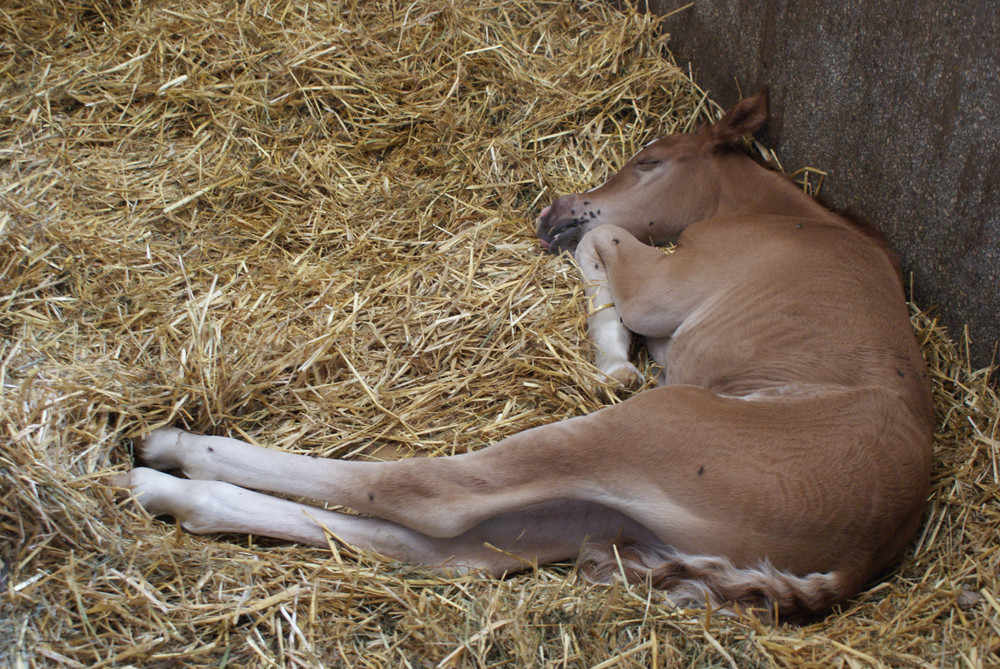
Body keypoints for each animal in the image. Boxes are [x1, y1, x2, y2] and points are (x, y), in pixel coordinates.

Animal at [115, 94, 928, 616]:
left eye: (649, 161)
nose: (551, 208)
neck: (785, 217)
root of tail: (868, 550)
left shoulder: (665, 286)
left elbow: (601, 242)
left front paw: (614, 359)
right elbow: (596, 247)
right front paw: (615, 357)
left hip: (643, 435)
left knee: (426, 493)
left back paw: (169, 452)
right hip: (604, 518)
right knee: (439, 548)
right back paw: (174, 493)